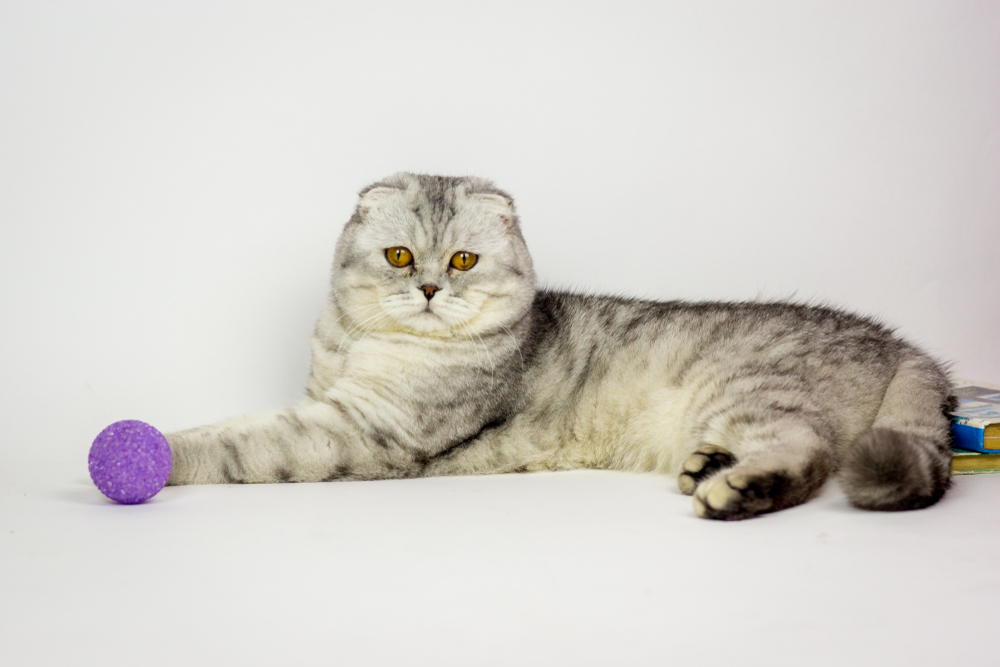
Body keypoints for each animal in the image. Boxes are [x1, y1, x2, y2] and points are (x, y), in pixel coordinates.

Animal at [166, 170, 952, 520]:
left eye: (462, 260)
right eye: (398, 257)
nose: (429, 289)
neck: (359, 345)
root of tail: (901, 344)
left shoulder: (364, 428)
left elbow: (234, 441)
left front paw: (154, 448)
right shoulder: (329, 400)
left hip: (756, 392)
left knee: (810, 454)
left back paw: (733, 489)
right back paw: (708, 465)